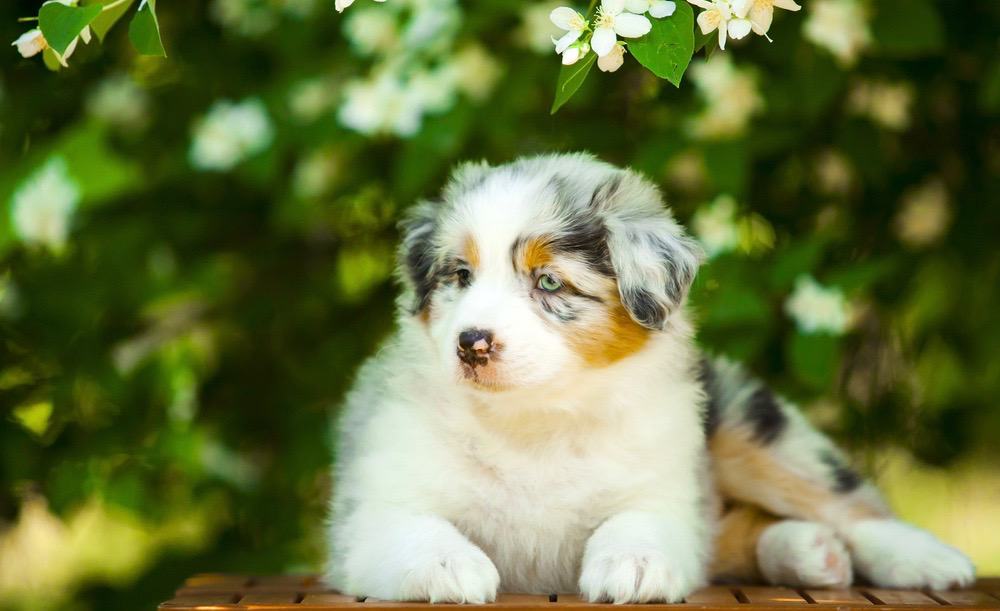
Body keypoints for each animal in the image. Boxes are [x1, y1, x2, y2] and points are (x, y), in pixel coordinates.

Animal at [326, 155, 976, 604]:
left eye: (549, 283)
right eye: (459, 275)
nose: (471, 343)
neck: (536, 417)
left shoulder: (663, 486)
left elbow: (636, 520)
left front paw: (633, 565)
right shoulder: (370, 506)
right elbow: (413, 527)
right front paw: (449, 567)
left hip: (745, 419)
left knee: (844, 503)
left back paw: (926, 560)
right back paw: (810, 552)